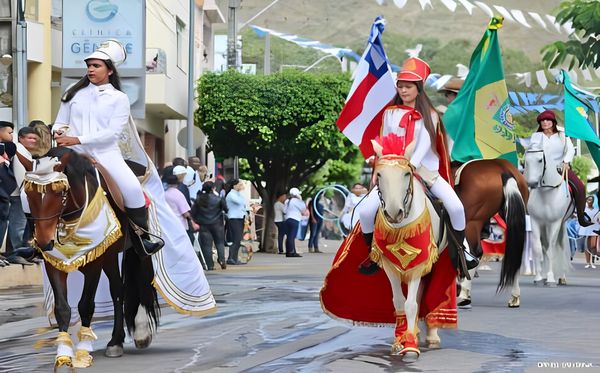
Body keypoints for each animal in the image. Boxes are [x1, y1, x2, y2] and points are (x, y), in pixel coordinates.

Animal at [368, 140, 452, 360]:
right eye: (379, 174)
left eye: (406, 174)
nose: (393, 212)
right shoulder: (389, 265)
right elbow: (399, 301)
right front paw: (399, 340)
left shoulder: (419, 263)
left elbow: (411, 304)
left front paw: (411, 347)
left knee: (422, 295)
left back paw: (429, 335)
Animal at [524, 145, 572, 284]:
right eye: (526, 161)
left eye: (540, 160)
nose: (532, 184)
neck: (546, 192)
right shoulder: (535, 221)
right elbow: (537, 249)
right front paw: (539, 277)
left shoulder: (555, 223)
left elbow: (551, 250)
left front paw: (551, 278)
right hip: (544, 227)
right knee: (544, 247)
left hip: (560, 225)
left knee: (560, 247)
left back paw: (561, 277)